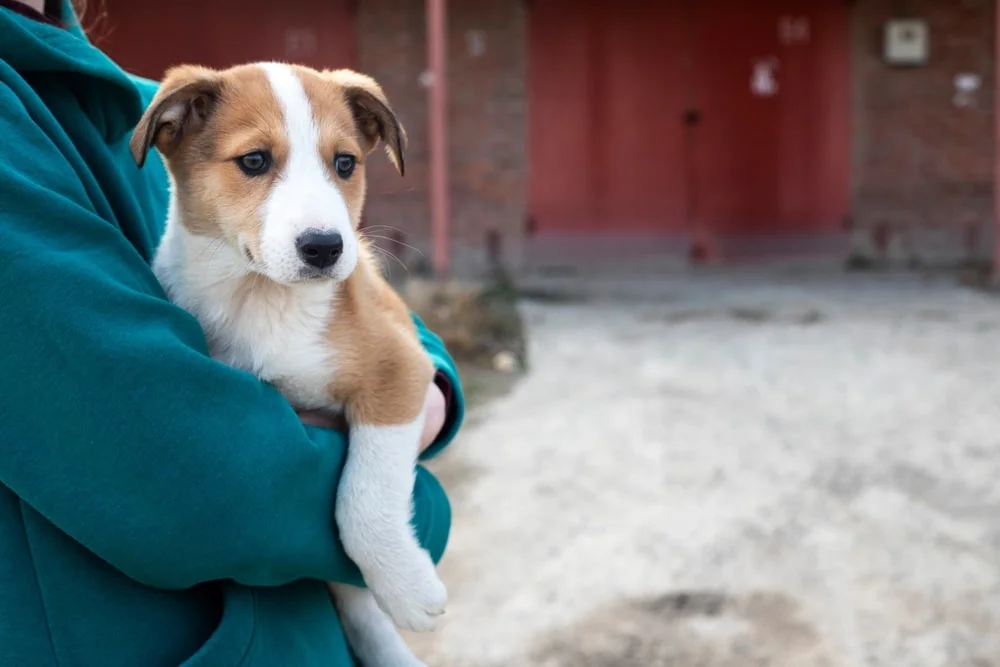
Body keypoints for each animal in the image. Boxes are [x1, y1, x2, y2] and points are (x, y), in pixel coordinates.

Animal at [129, 60, 446, 664]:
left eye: (344, 163)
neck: (262, 300)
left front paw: (406, 587)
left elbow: (362, 495)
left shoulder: (399, 369)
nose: (324, 247)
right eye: (254, 161)